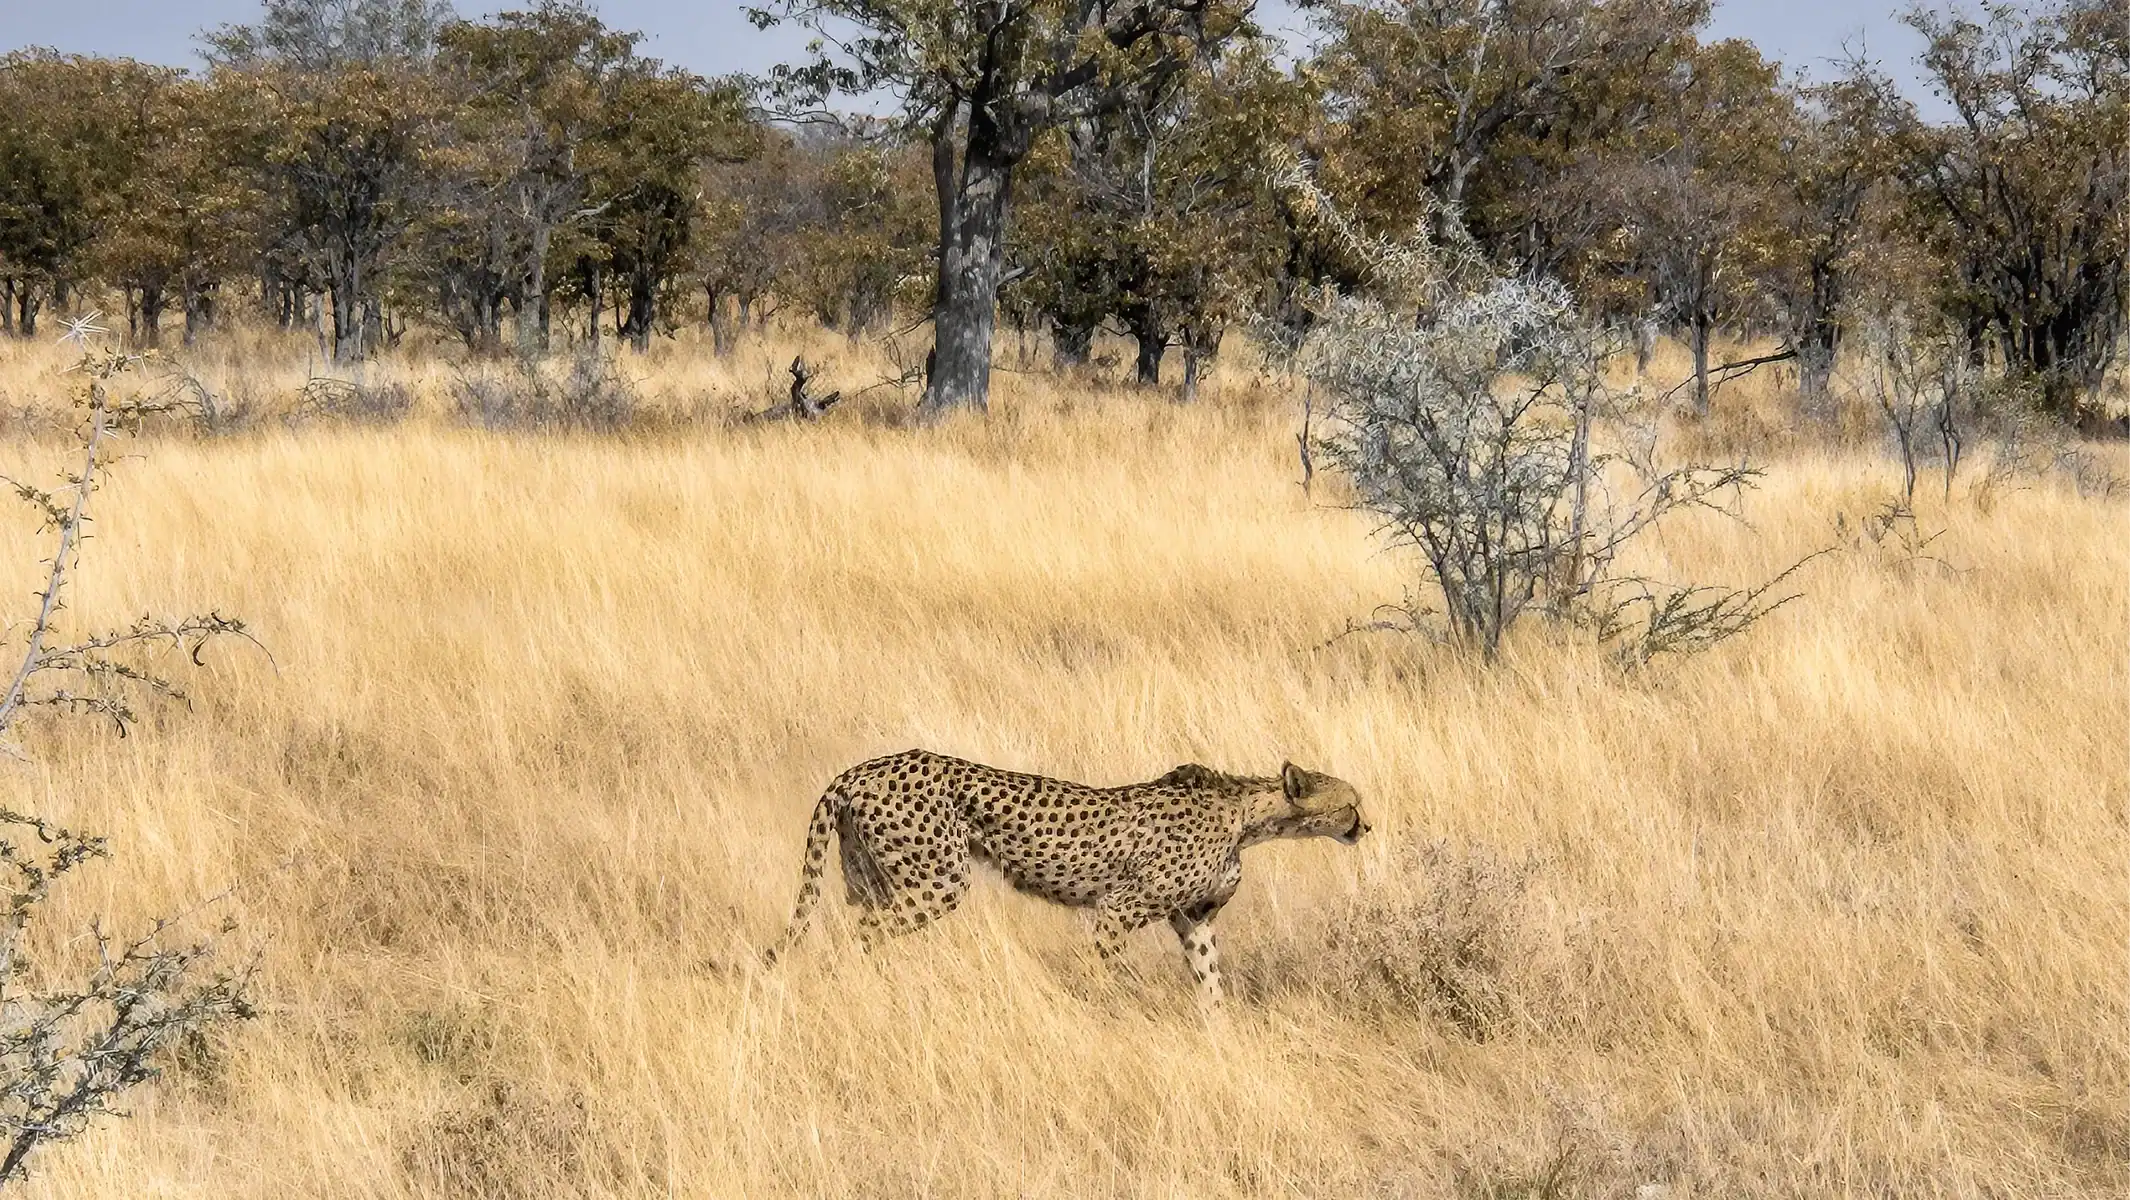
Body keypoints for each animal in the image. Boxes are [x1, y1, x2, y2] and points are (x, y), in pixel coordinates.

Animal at [762, 749, 1370, 1002]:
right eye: (1350, 803)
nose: (1367, 826)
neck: (1247, 816)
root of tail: (861, 768)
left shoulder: (1194, 919)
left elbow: (1211, 983)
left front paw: (1219, 1039)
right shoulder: (1120, 907)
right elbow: (1102, 971)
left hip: (872, 880)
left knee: (858, 929)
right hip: (937, 882)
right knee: (862, 934)